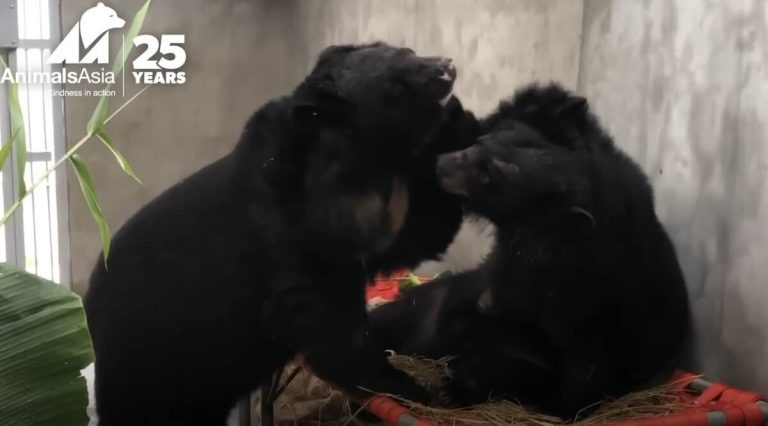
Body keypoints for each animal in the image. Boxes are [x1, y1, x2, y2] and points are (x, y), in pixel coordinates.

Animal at [84, 42, 478, 426]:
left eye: (408, 51)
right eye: (396, 82)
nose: (446, 66)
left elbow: (410, 235)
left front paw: (460, 125)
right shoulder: (286, 228)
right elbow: (321, 315)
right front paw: (412, 388)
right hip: (151, 362)